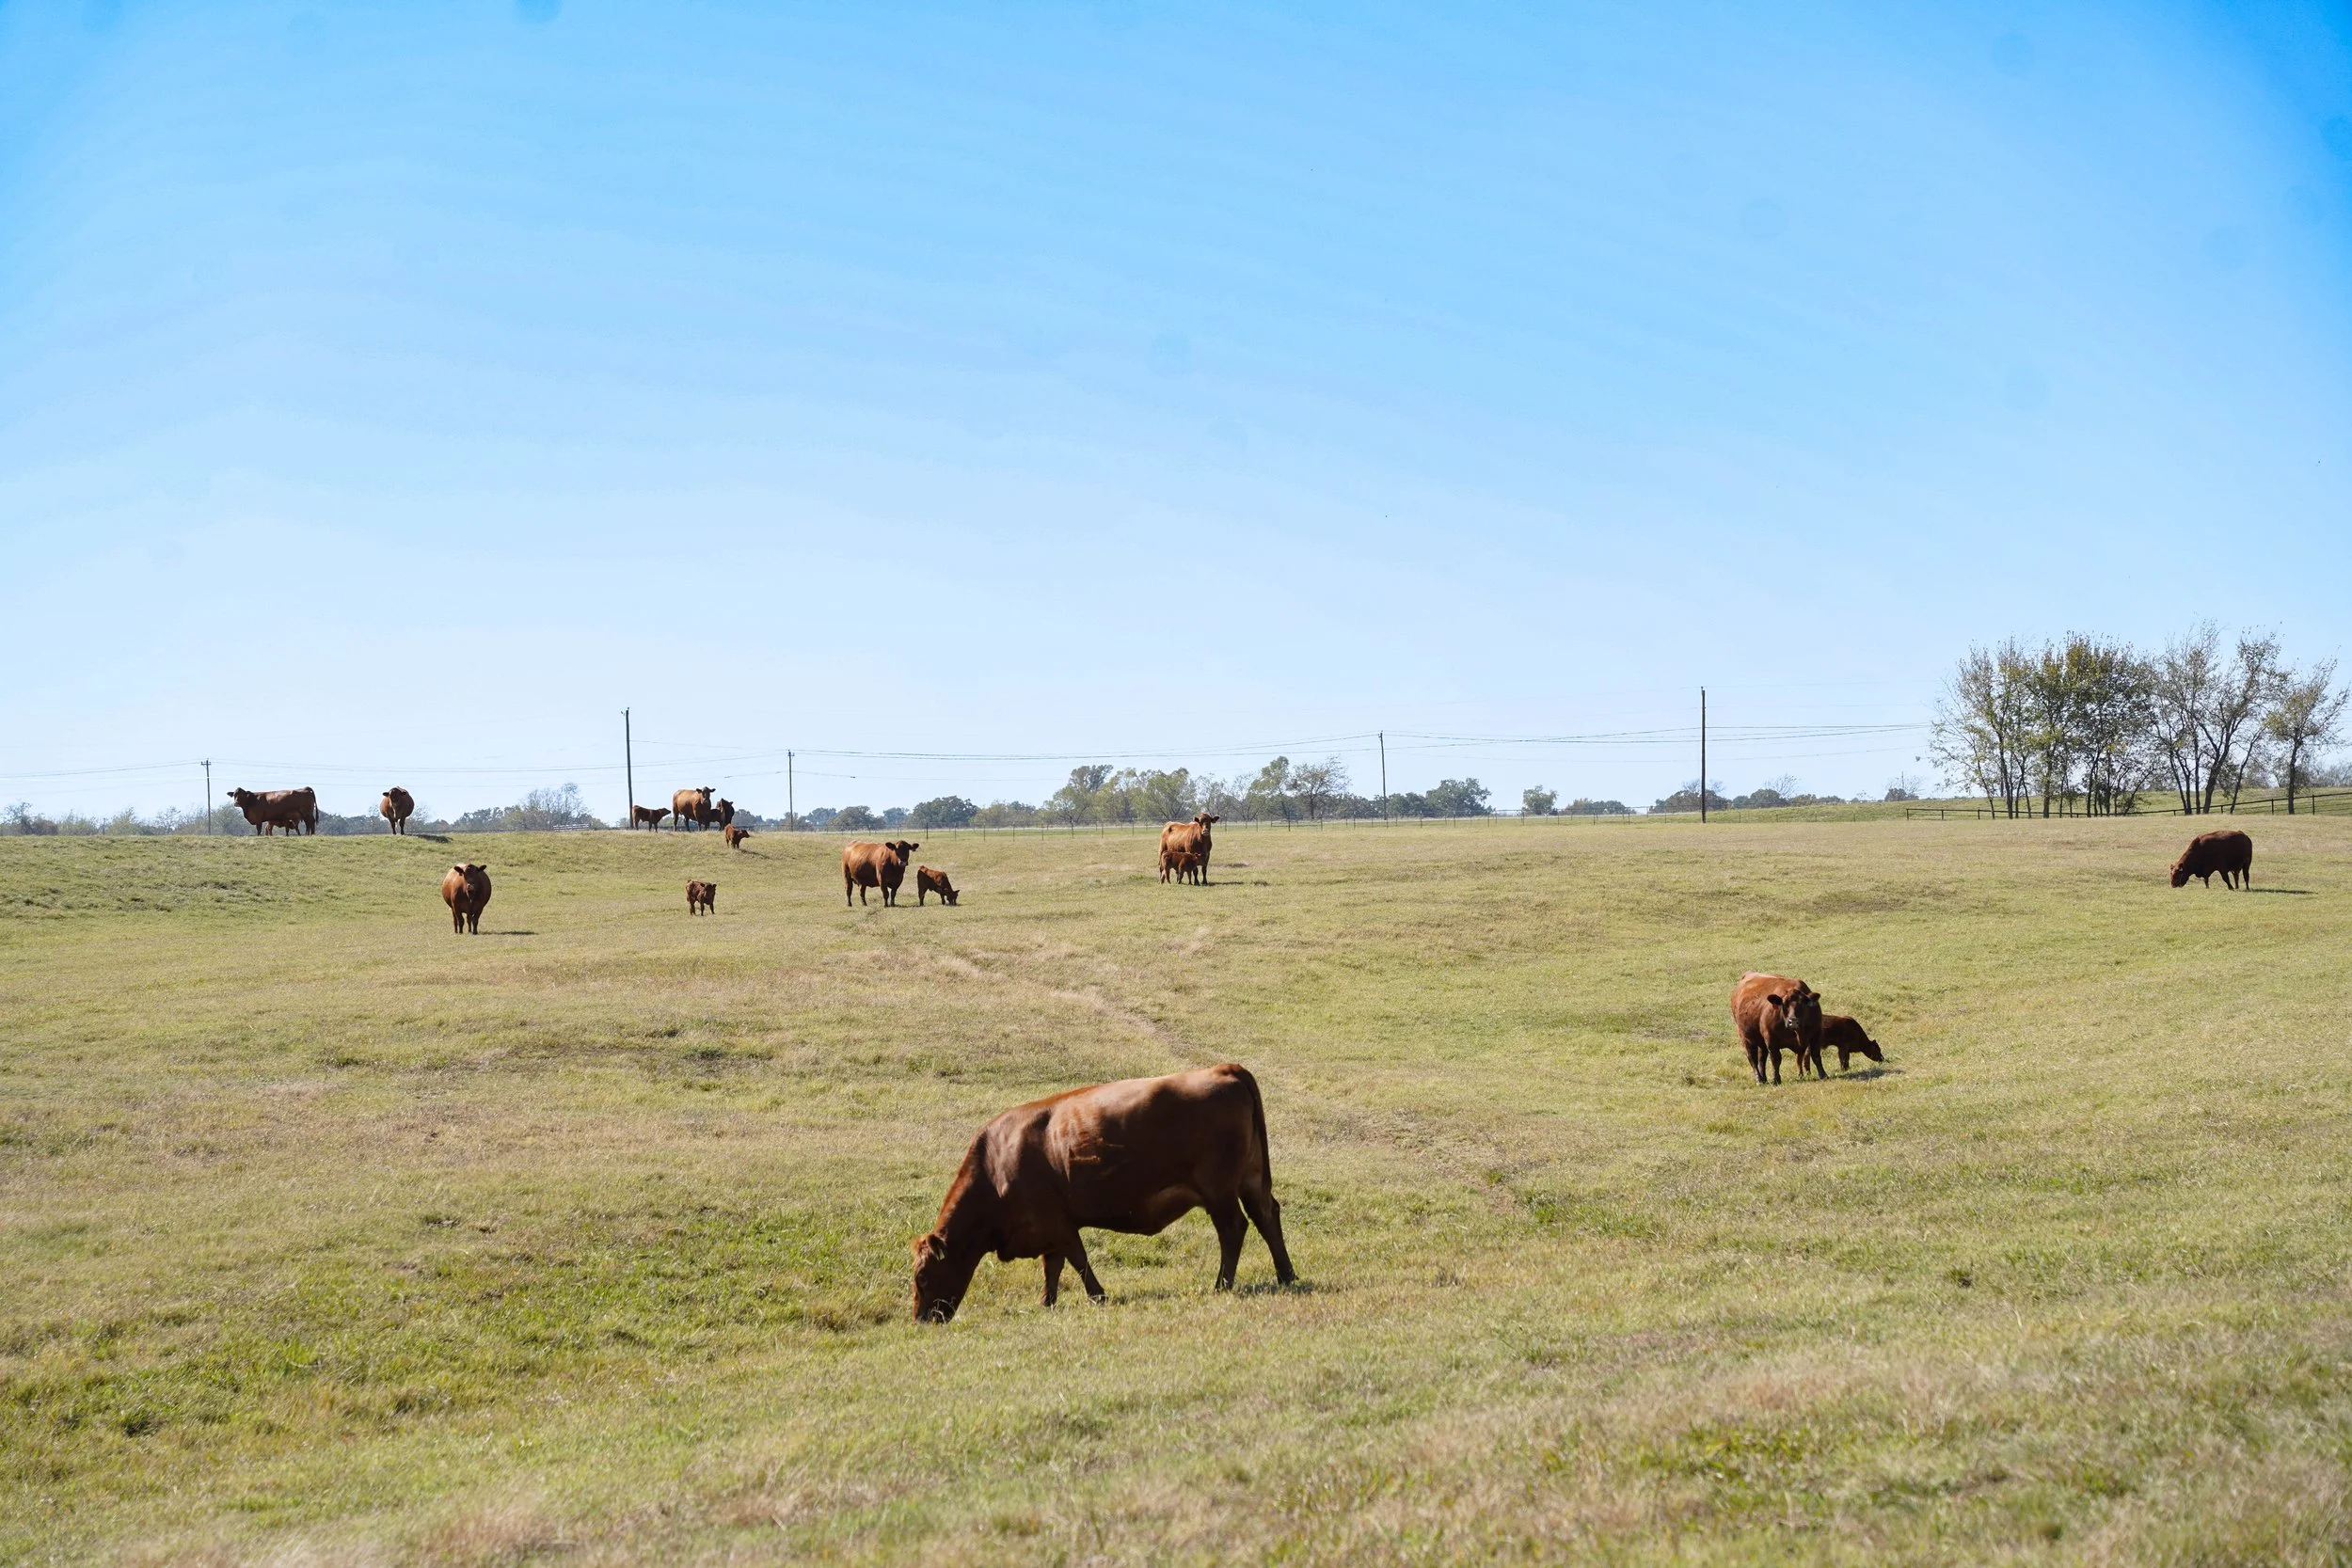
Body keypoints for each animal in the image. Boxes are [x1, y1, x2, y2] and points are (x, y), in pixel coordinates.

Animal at [911, 1063, 1298, 1322]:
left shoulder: (1054, 1220)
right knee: (1267, 1217)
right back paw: (1286, 1275)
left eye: (922, 1276)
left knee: (1233, 1229)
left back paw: (1221, 1284)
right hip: (1252, 1180)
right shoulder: (1050, 1225)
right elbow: (1053, 1265)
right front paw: (1047, 1302)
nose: (921, 1319)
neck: (995, 1162)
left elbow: (1076, 1258)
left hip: (1219, 1191)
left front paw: (1097, 1296)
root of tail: (1223, 1069)